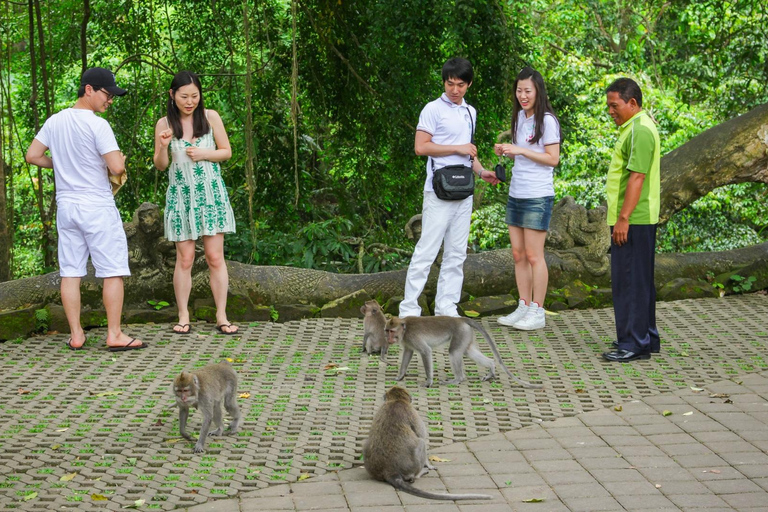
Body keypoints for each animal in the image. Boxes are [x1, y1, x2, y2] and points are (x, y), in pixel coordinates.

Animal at [364, 388, 496, 500]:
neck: (396, 401)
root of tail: (389, 471)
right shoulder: (413, 413)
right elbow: (422, 436)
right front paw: (429, 465)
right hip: (410, 466)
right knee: (421, 444)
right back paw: (418, 473)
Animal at [388, 316, 544, 388]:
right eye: (386, 330)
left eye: (392, 331)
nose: (388, 339)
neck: (405, 329)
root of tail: (459, 319)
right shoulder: (408, 342)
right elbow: (407, 354)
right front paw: (400, 376)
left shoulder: (412, 337)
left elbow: (426, 351)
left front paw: (428, 382)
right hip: (466, 333)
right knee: (467, 351)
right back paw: (491, 366)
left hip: (460, 332)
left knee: (453, 352)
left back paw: (458, 379)